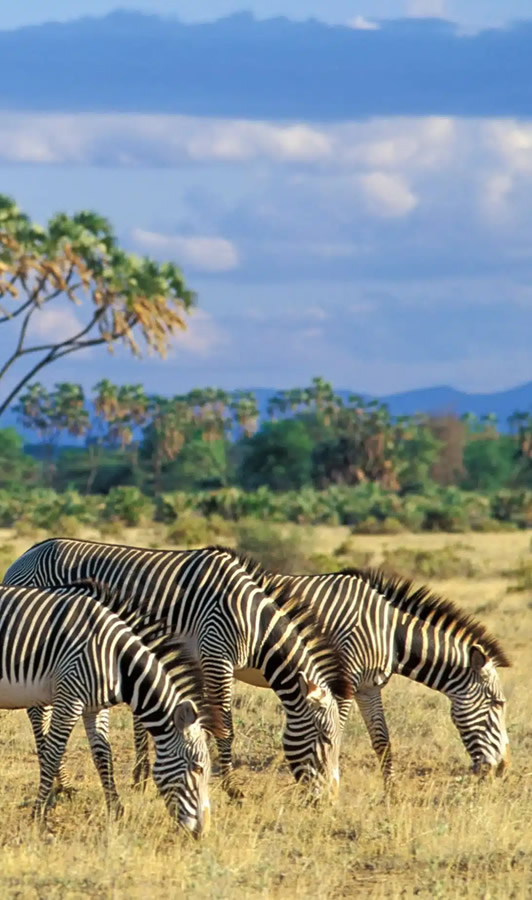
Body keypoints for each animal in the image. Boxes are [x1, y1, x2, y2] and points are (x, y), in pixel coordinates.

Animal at [0, 580, 222, 832]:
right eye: (198, 768)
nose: (203, 831)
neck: (118, 660)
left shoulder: (94, 707)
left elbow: (103, 755)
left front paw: (116, 810)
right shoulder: (69, 697)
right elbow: (52, 754)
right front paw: (38, 815)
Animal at [4, 536, 354, 800]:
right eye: (326, 739)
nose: (329, 798)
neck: (253, 621)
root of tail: (24, 555)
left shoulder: (203, 662)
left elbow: (204, 721)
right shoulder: (217, 655)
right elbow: (225, 727)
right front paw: (231, 789)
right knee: (38, 713)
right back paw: (60, 784)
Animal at [222, 556, 510, 788]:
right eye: (498, 703)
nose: (503, 768)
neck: (390, 633)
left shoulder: (369, 687)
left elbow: (382, 741)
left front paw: (391, 795)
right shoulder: (344, 683)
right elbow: (335, 734)